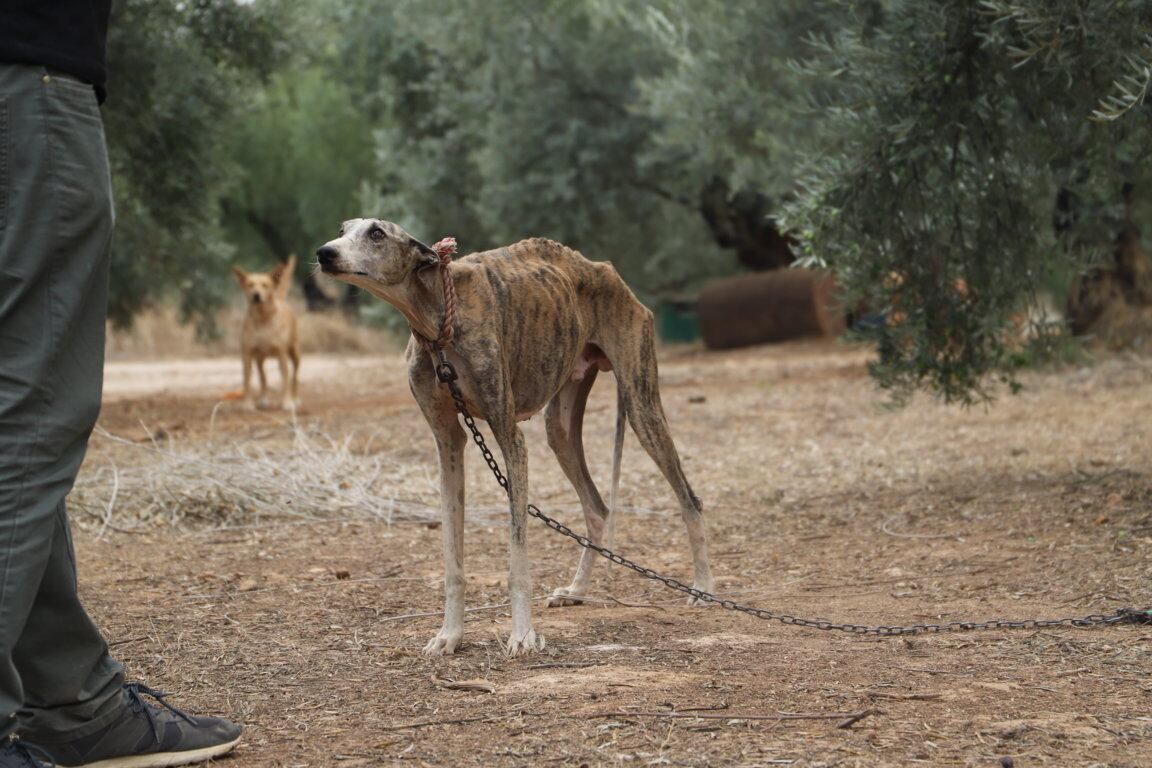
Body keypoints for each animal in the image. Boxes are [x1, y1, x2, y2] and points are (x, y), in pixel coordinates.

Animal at [229, 256, 299, 412]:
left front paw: (287, 402)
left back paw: (294, 397)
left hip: (294, 352)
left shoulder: (282, 355)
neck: (263, 320)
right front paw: (247, 403)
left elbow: (285, 379)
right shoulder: (247, 354)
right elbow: (247, 381)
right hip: (259, 359)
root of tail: (280, 300)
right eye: (250, 284)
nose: (256, 295)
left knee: (294, 375)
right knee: (263, 378)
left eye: (265, 285)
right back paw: (263, 399)